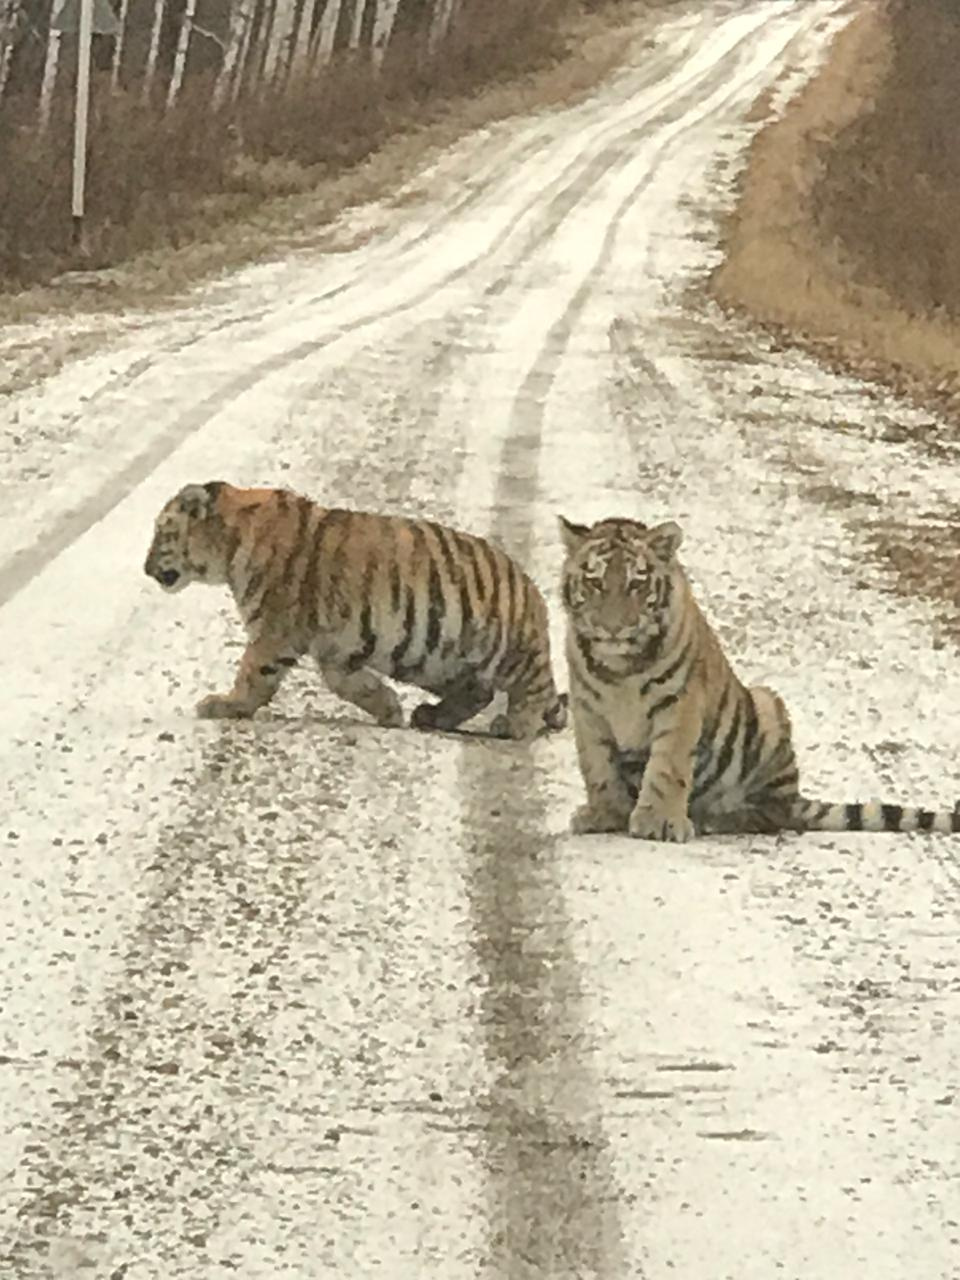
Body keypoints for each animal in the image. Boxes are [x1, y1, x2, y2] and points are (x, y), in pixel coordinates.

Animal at [140, 481, 563, 742]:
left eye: (162, 532)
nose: (145, 568)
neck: (229, 546)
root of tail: (532, 591)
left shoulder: (273, 633)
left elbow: (252, 676)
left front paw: (224, 705)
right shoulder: (335, 649)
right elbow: (350, 684)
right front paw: (389, 709)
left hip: (508, 652)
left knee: (534, 690)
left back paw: (513, 725)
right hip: (436, 660)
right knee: (478, 691)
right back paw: (431, 716)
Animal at [560, 509, 957, 839]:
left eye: (636, 584)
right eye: (595, 583)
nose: (612, 628)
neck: (619, 669)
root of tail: (796, 798)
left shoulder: (680, 704)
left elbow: (667, 766)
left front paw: (658, 821)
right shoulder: (587, 709)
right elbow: (596, 767)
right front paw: (604, 814)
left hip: (767, 706)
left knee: (770, 814)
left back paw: (715, 819)